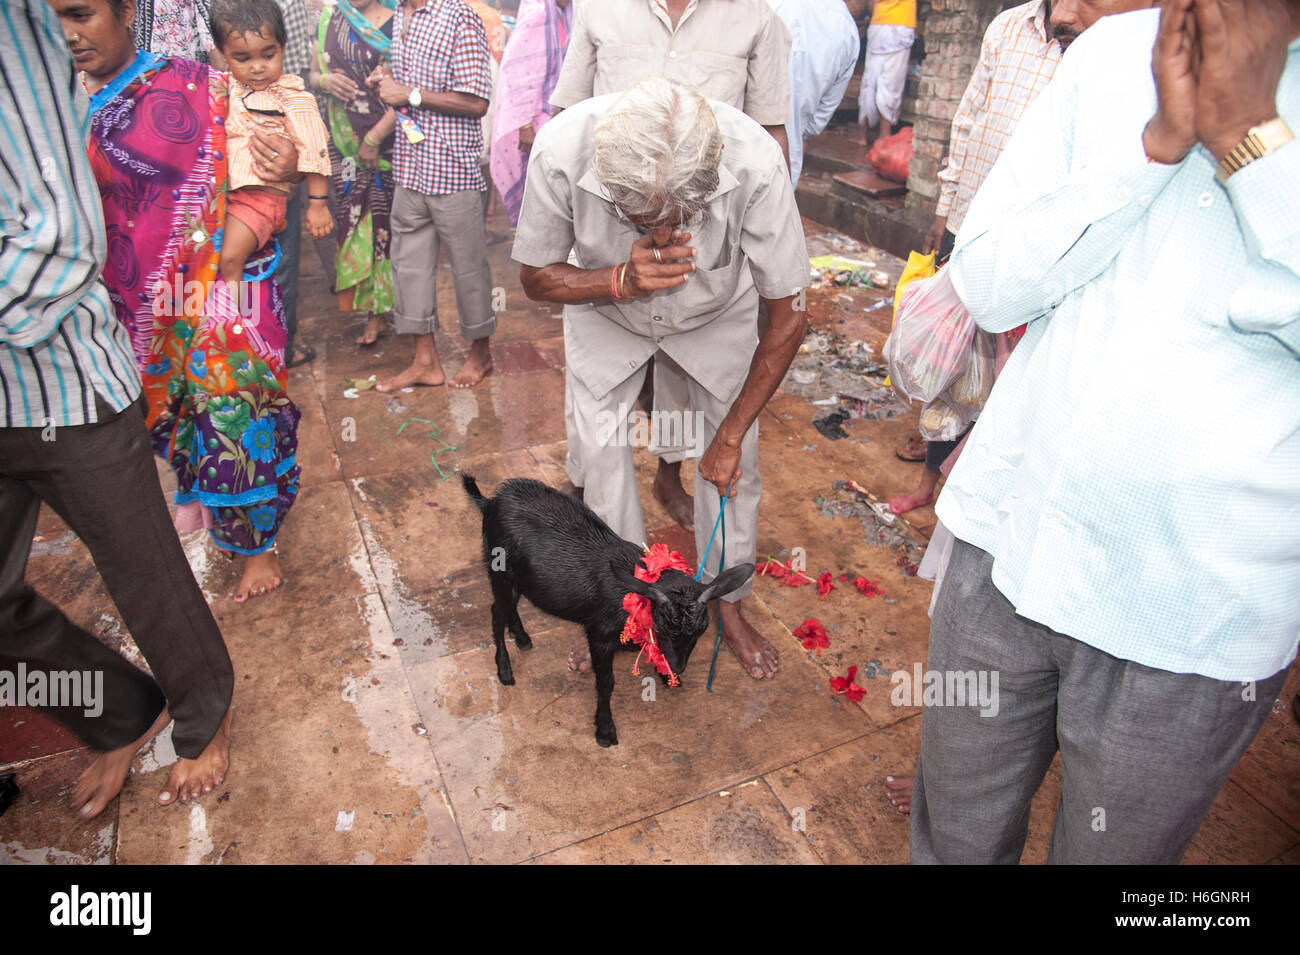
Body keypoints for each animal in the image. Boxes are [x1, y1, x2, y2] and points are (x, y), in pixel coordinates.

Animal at [465, 475, 754, 748]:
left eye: (699, 632)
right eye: (661, 628)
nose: (678, 666)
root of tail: (490, 502)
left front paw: (665, 675)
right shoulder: (599, 636)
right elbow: (606, 683)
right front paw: (605, 731)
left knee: (510, 607)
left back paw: (522, 638)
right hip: (500, 569)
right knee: (496, 611)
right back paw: (504, 669)